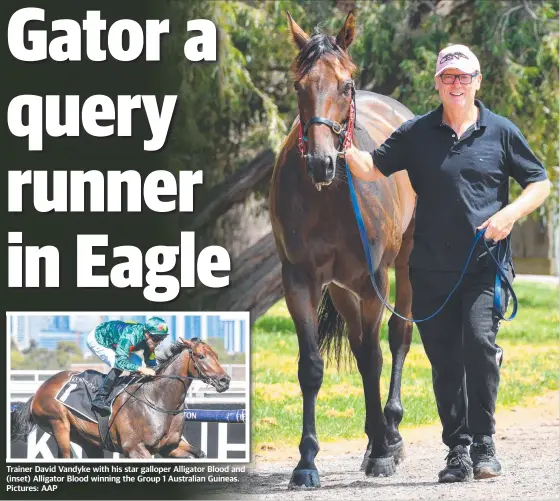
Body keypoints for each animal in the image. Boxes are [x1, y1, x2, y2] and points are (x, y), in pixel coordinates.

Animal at [10, 338, 230, 458]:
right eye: (201, 356)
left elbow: (199, 454)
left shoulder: (170, 447)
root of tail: (40, 390)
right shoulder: (134, 449)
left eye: (217, 355)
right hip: (58, 425)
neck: (157, 399)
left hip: (88, 440)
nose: (225, 380)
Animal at [270, 12, 418, 488]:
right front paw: (306, 461)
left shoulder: (374, 282)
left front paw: (384, 452)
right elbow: (311, 367)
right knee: (357, 342)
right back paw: (375, 436)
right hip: (340, 287)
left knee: (396, 338)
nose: (321, 162)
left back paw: (390, 432)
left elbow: (373, 357)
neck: (329, 196)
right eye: (299, 85)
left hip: (404, 266)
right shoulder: (300, 281)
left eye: (346, 85)